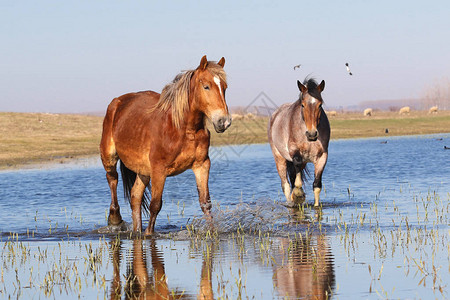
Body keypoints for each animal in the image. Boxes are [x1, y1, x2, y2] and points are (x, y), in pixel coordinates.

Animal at [100, 55, 230, 234]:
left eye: (224, 87)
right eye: (206, 86)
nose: (224, 122)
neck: (183, 128)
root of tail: (117, 103)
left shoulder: (202, 165)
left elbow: (205, 203)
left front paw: (212, 231)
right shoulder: (159, 169)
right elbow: (155, 205)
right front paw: (149, 234)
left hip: (143, 170)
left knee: (135, 197)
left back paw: (137, 230)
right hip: (109, 157)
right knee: (112, 179)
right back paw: (115, 219)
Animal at [268, 78, 330, 207]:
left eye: (320, 104)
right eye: (303, 104)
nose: (312, 134)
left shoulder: (322, 157)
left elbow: (317, 185)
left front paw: (316, 206)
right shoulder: (295, 154)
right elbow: (296, 182)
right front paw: (298, 194)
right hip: (279, 159)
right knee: (286, 185)